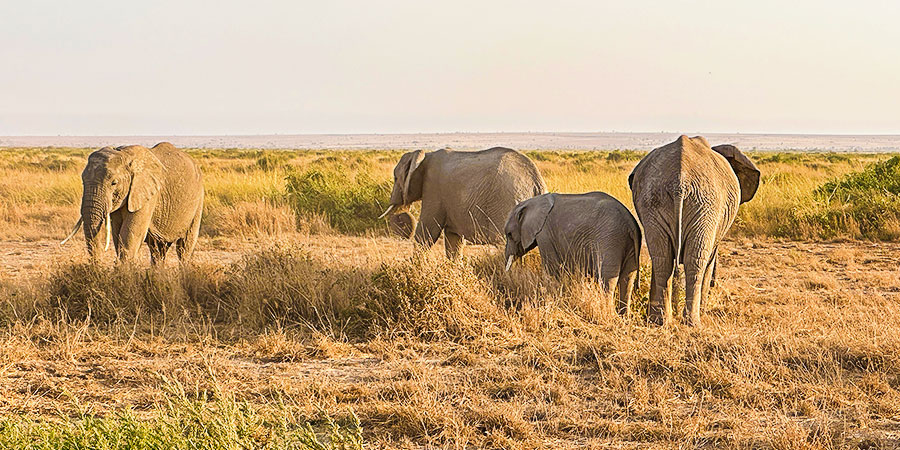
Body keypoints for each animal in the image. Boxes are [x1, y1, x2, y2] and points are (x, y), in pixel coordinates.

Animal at [61, 142, 204, 264]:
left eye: (114, 183)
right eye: (83, 181)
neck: (124, 155)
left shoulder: (147, 194)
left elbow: (129, 234)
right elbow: (117, 233)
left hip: (198, 201)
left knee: (184, 247)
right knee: (158, 250)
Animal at [378, 148, 544, 258]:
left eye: (395, 178)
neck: (425, 155)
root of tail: (536, 181)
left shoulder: (433, 189)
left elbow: (427, 232)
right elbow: (454, 240)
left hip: (506, 202)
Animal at [506, 192, 640, 314]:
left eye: (509, 234)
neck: (532, 202)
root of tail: (631, 223)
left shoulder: (544, 234)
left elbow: (552, 269)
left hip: (609, 239)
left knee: (608, 280)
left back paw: (608, 314)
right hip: (625, 243)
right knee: (627, 280)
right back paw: (624, 317)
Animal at [624, 135, 760, 326]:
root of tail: (679, 182)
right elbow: (708, 261)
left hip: (653, 200)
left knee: (661, 258)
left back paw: (661, 321)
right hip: (706, 205)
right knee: (696, 261)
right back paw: (693, 322)